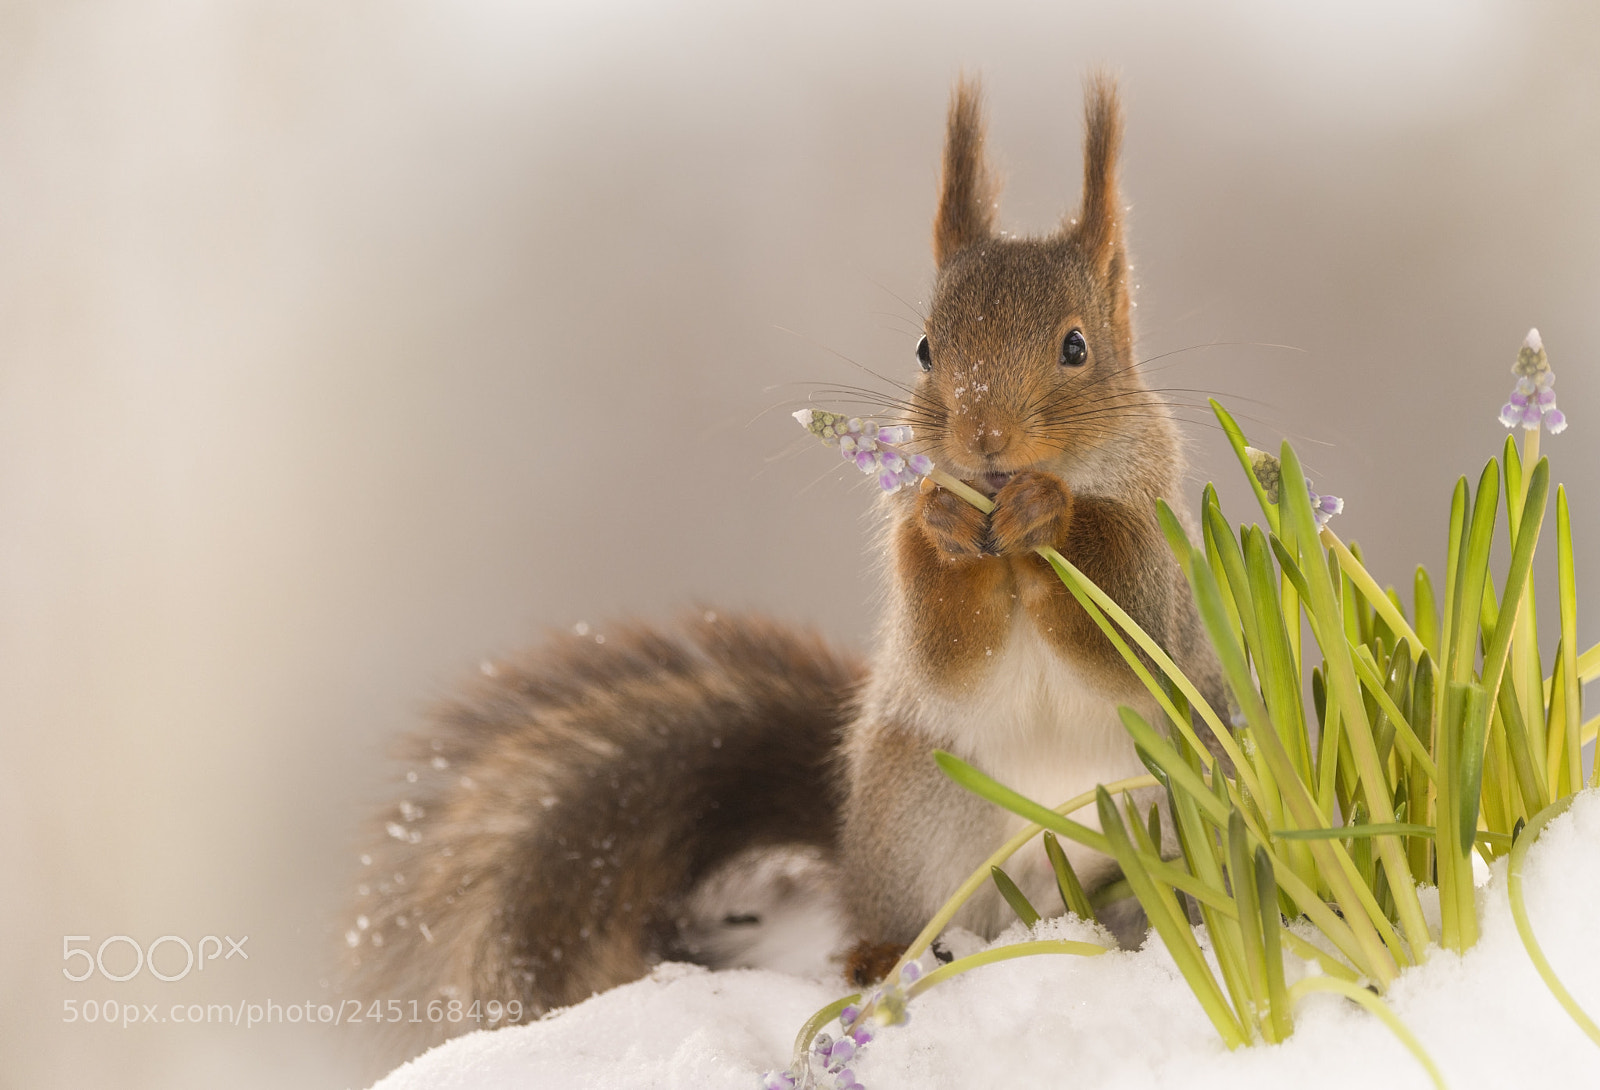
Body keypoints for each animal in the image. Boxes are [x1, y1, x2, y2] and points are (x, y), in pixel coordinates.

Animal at [347, 74, 1223, 1047]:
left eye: (1076, 347)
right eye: (926, 348)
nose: (983, 442)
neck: (1012, 557)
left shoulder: (1158, 559)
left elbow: (1133, 632)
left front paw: (1049, 511)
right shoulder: (921, 606)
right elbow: (942, 649)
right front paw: (946, 522)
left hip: (1174, 801)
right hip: (919, 809)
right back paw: (884, 956)